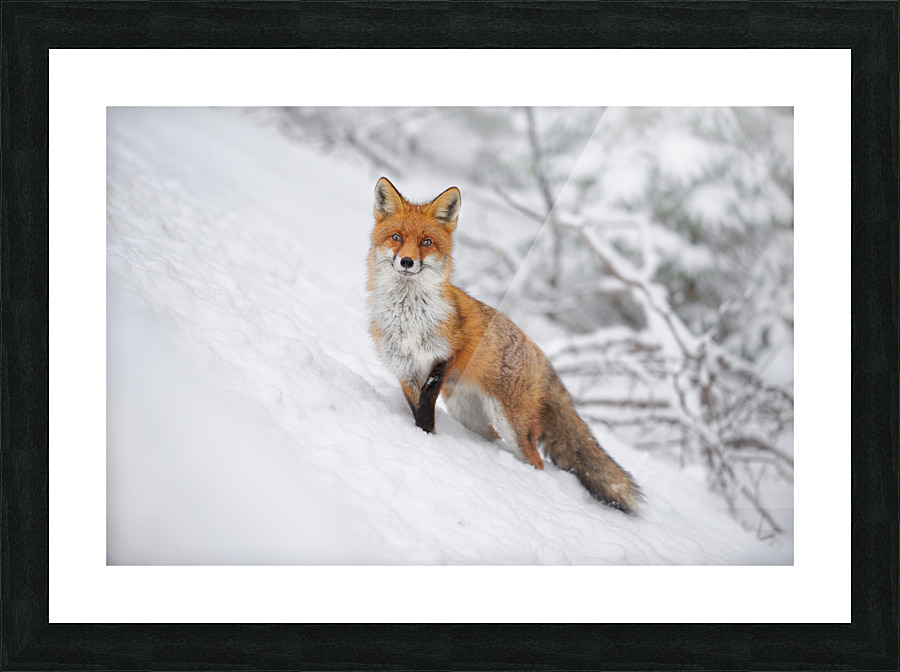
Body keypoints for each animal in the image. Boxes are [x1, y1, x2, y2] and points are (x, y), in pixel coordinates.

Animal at [367, 177, 642, 513]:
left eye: (426, 242)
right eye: (396, 237)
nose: (407, 261)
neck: (409, 317)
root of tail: (539, 353)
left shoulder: (447, 354)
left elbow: (427, 405)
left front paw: (426, 441)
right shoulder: (404, 369)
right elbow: (417, 408)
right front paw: (420, 437)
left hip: (513, 423)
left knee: (537, 461)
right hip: (470, 415)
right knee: (492, 438)